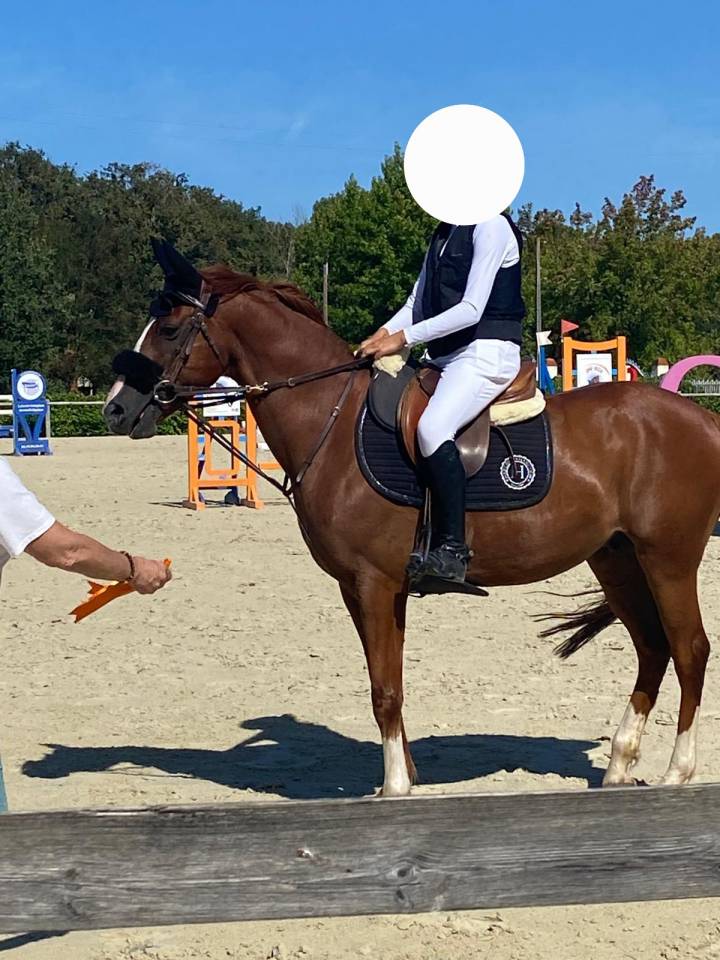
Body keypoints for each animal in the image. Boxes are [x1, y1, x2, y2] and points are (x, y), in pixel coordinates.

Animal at [104, 255, 720, 796]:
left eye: (169, 328)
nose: (114, 409)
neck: (330, 417)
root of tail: (702, 418)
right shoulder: (365, 588)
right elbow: (390, 681)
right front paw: (406, 774)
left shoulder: (374, 583)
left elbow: (384, 689)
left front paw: (394, 787)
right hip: (616, 559)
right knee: (653, 649)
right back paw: (619, 766)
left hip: (667, 559)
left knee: (689, 649)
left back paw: (677, 772)